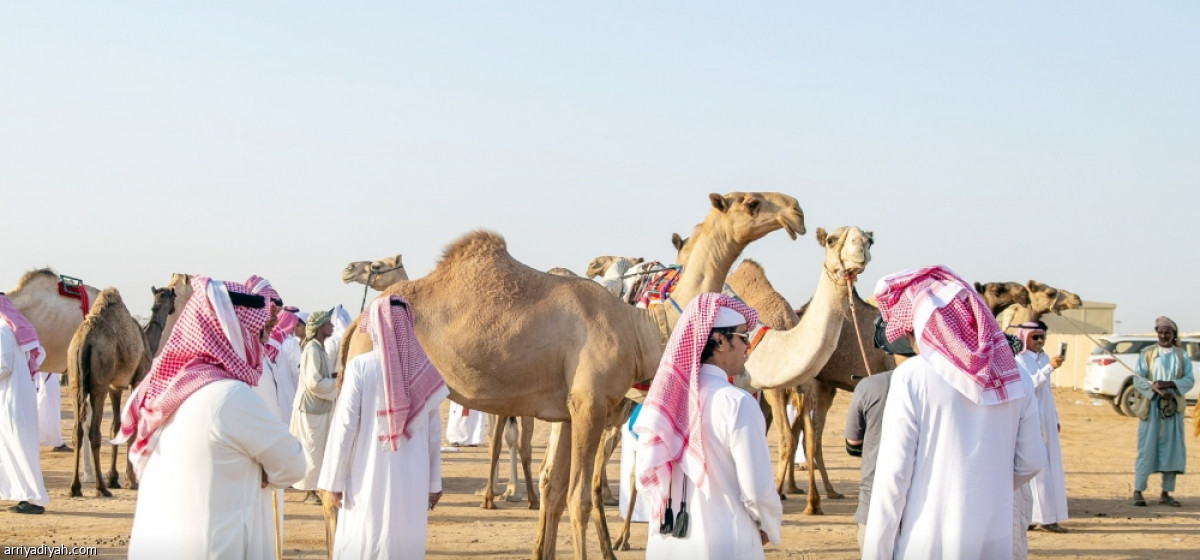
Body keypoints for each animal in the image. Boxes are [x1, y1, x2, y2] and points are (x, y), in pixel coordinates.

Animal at [68, 288, 151, 498]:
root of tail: (85, 341)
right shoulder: (138, 378)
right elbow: (131, 427)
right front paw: (130, 481)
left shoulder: (115, 386)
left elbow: (116, 426)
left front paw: (114, 479)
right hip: (100, 381)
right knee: (94, 432)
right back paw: (101, 488)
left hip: (75, 381)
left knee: (77, 431)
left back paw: (75, 488)